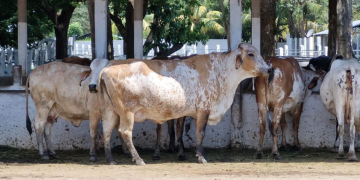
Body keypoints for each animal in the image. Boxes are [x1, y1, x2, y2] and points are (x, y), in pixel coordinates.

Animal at [88, 43, 272, 165]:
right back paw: (138, 159)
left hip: (110, 111)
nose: (269, 69)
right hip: (126, 112)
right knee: (125, 131)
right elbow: (200, 134)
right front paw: (202, 157)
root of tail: (107, 69)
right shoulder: (203, 110)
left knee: (106, 131)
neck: (220, 72)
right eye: (251, 54)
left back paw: (111, 160)